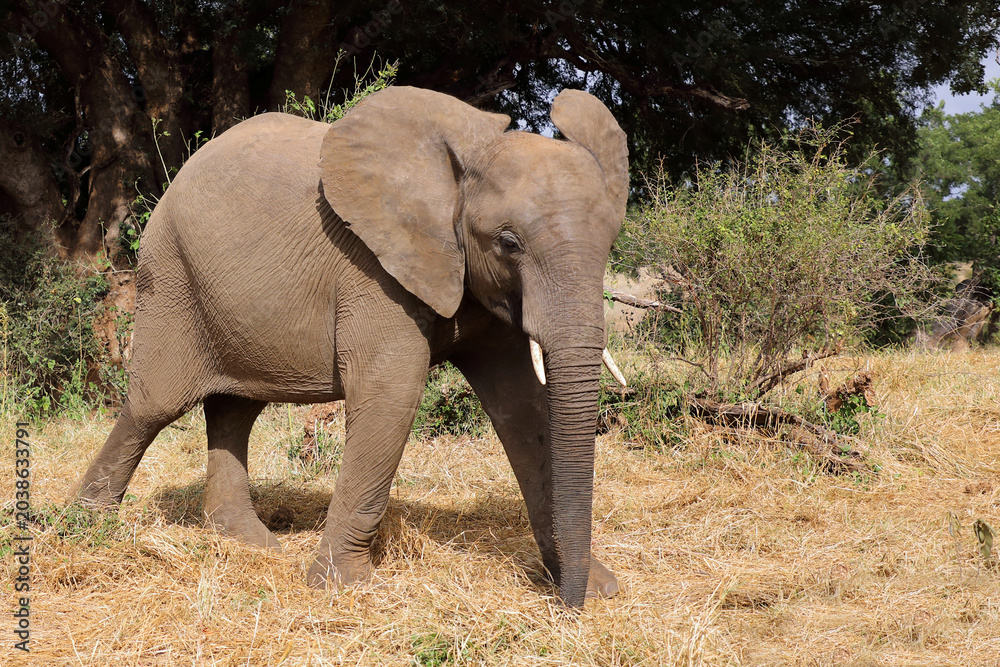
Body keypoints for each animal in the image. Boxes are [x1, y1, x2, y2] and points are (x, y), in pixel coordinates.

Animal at [70, 85, 628, 608]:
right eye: (508, 243)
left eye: (609, 242)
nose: (570, 606)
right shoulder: (372, 268)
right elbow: (392, 395)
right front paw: (346, 587)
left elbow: (523, 407)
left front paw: (597, 586)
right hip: (170, 276)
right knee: (153, 406)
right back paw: (83, 525)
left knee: (234, 409)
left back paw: (246, 542)